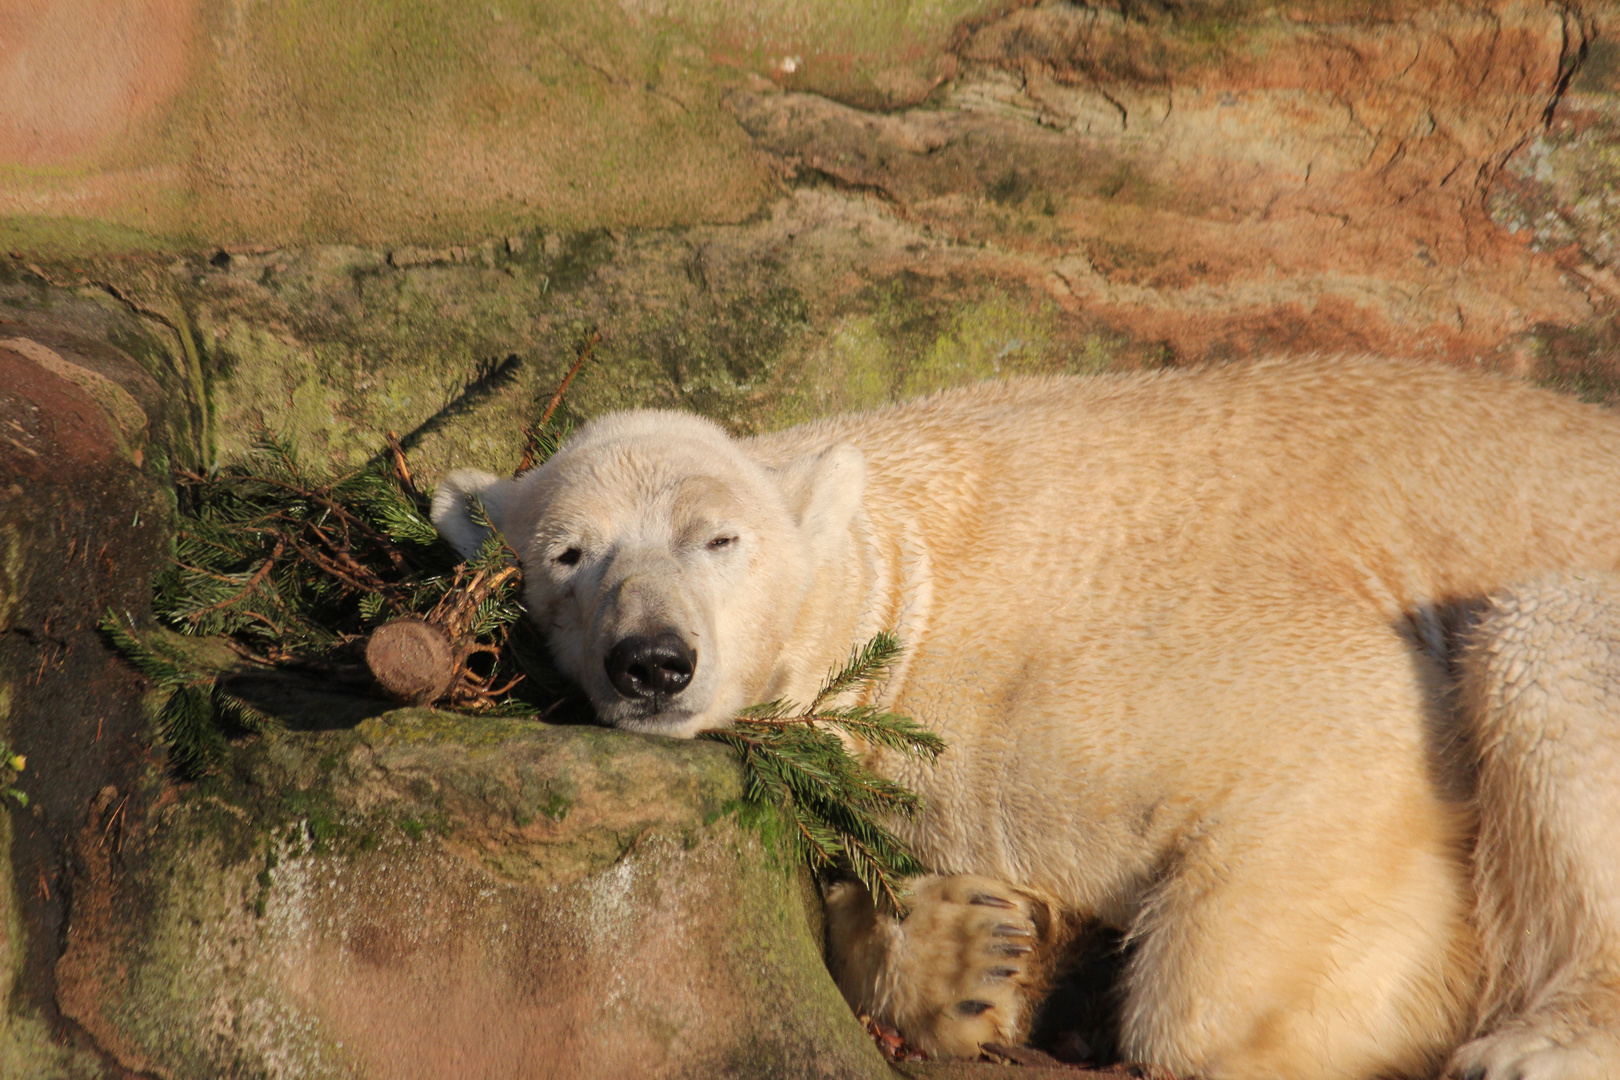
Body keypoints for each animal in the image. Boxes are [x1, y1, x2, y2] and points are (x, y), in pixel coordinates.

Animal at [430, 359, 1620, 1075]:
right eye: (567, 555)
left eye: (720, 539)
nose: (652, 662)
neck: (908, 588)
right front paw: (979, 951)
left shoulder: (1080, 657)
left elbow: (1335, 730)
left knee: (1538, 642)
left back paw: (1536, 1043)